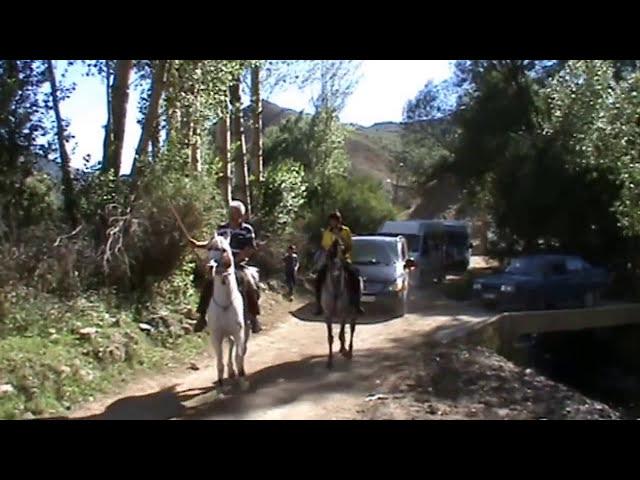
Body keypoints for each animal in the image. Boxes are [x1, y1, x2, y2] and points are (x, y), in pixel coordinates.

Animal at [205, 235, 248, 386]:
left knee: (237, 348)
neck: (225, 304)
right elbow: (219, 361)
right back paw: (230, 372)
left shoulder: (238, 332)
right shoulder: (216, 336)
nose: (209, 267)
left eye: (223, 249)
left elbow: (239, 356)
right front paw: (220, 381)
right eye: (209, 248)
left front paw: (242, 378)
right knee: (230, 345)